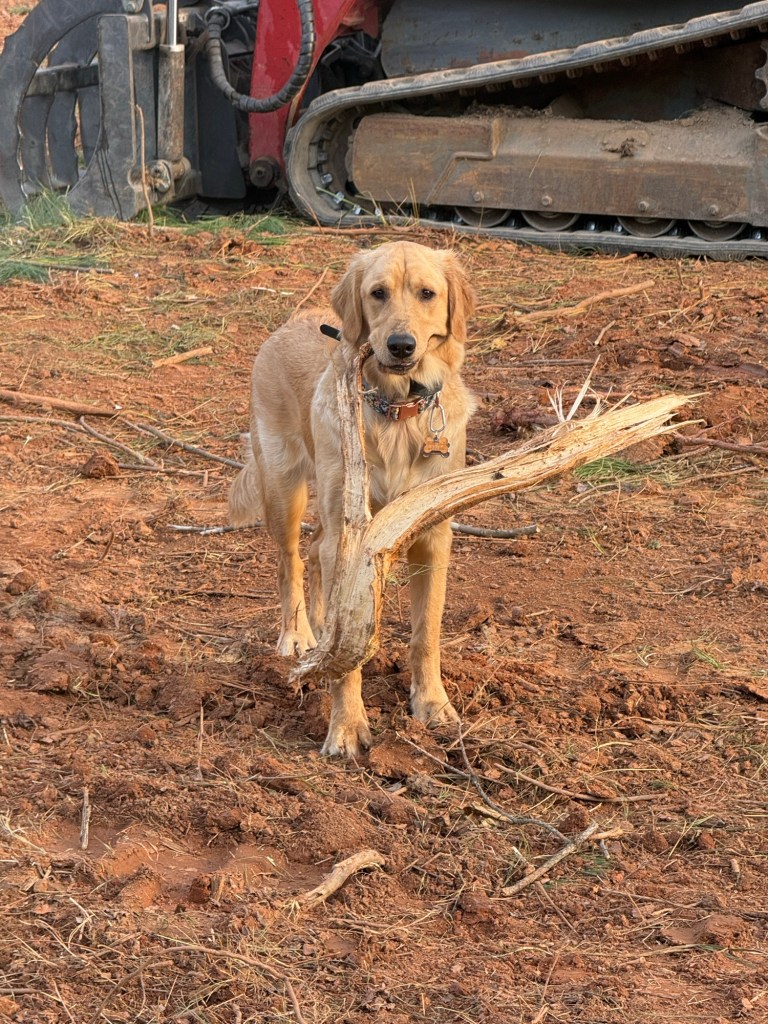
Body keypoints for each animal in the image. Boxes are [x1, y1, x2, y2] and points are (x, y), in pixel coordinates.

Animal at [229, 241, 476, 756]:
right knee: (291, 562)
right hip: (285, 489)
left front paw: (432, 704)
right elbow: (348, 654)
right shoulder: (353, 537)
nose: (401, 345)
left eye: (427, 293)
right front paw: (345, 725)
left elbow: (426, 633)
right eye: (377, 293)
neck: (398, 411)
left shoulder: (431, 534)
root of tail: (295, 319)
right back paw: (299, 635)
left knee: (315, 557)